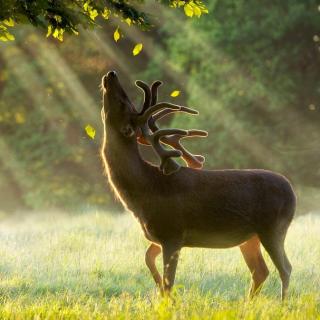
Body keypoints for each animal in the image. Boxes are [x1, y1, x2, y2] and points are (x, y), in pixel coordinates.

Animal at [101, 70, 296, 300]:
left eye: (123, 103)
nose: (111, 74)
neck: (144, 191)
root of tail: (292, 192)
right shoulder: (159, 236)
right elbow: (148, 259)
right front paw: (158, 290)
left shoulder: (173, 232)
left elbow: (169, 282)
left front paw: (167, 300)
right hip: (250, 237)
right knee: (260, 270)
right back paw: (248, 303)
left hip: (273, 227)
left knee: (285, 268)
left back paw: (282, 303)